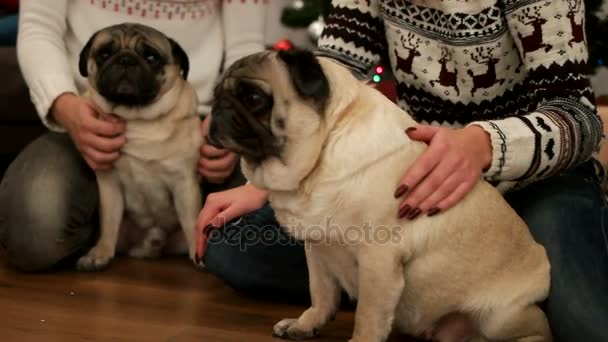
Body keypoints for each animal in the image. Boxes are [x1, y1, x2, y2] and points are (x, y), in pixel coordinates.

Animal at [76, 22, 202, 272]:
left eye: (151, 57)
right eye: (104, 54)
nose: (126, 59)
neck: (136, 119)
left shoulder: (185, 184)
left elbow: (192, 223)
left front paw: (200, 253)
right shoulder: (109, 185)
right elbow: (109, 222)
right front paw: (100, 253)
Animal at [208, 50, 552, 342]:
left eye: (253, 98)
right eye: (215, 95)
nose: (217, 108)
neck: (322, 154)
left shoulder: (378, 260)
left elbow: (368, 316)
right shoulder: (318, 249)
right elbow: (320, 293)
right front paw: (306, 324)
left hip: (501, 318)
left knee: (536, 332)